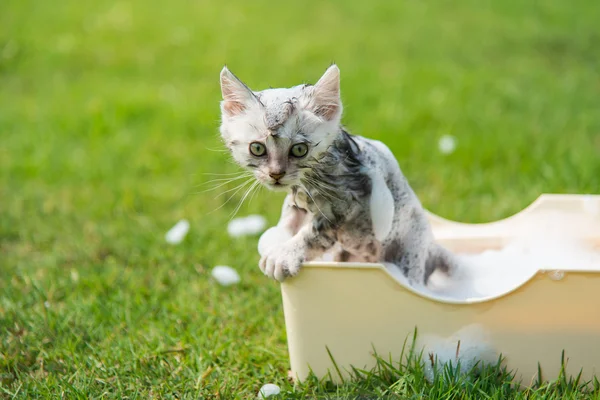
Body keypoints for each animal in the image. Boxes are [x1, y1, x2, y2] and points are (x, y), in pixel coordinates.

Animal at [218, 65, 458, 284]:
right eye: (257, 148)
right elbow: (288, 218)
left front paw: (285, 255)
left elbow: (313, 234)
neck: (315, 178)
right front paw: (276, 240)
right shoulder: (299, 199)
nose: (276, 174)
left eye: (299, 149)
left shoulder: (347, 204)